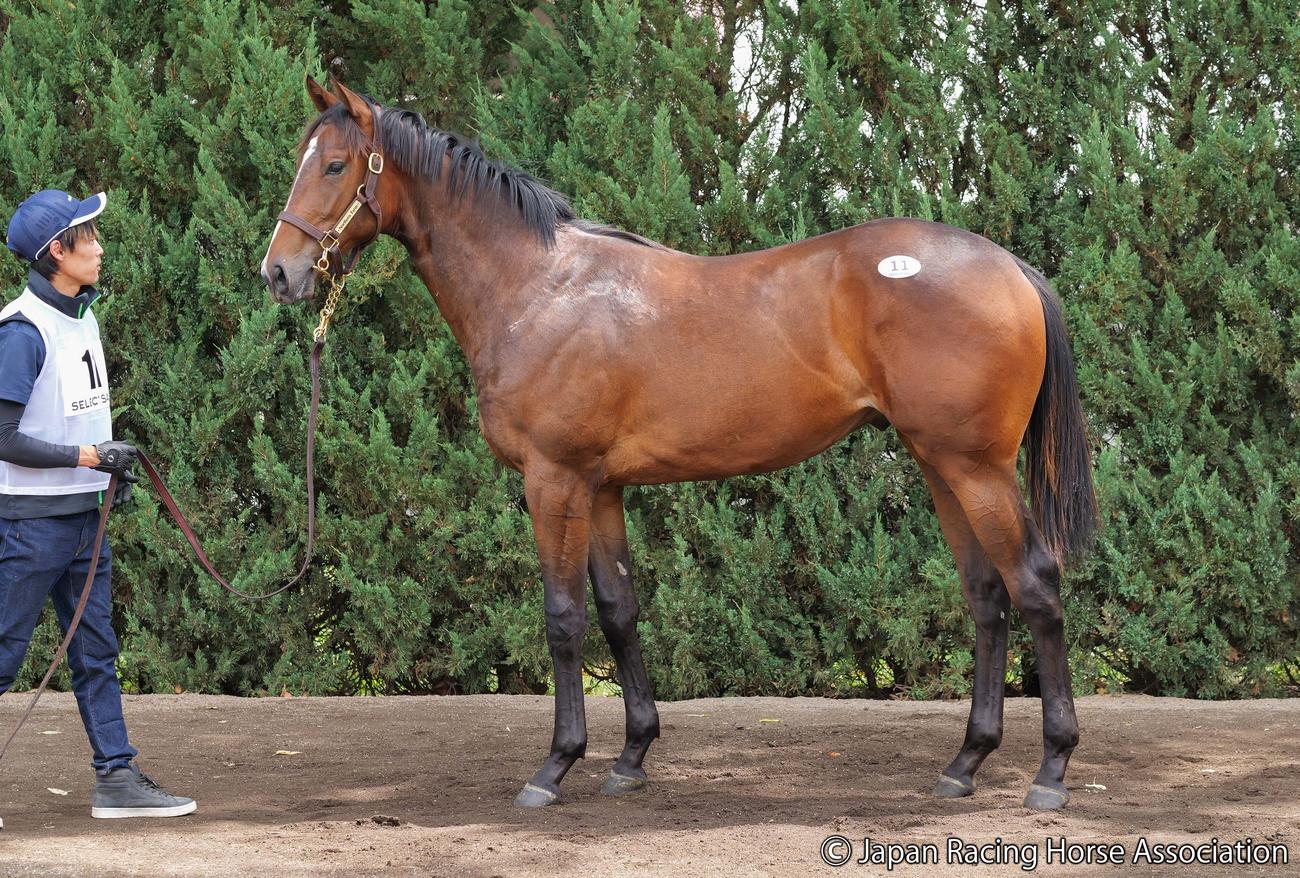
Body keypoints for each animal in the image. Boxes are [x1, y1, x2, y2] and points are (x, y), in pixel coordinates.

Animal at [261, 77, 1097, 811]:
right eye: (301, 157)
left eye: (334, 165)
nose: (278, 271)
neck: (538, 288)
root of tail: (1010, 267)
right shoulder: (601, 486)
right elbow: (618, 609)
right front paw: (630, 758)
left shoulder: (553, 479)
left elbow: (563, 617)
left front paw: (555, 766)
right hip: (937, 464)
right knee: (987, 596)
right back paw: (965, 763)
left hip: (976, 468)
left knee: (1034, 586)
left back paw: (1051, 771)